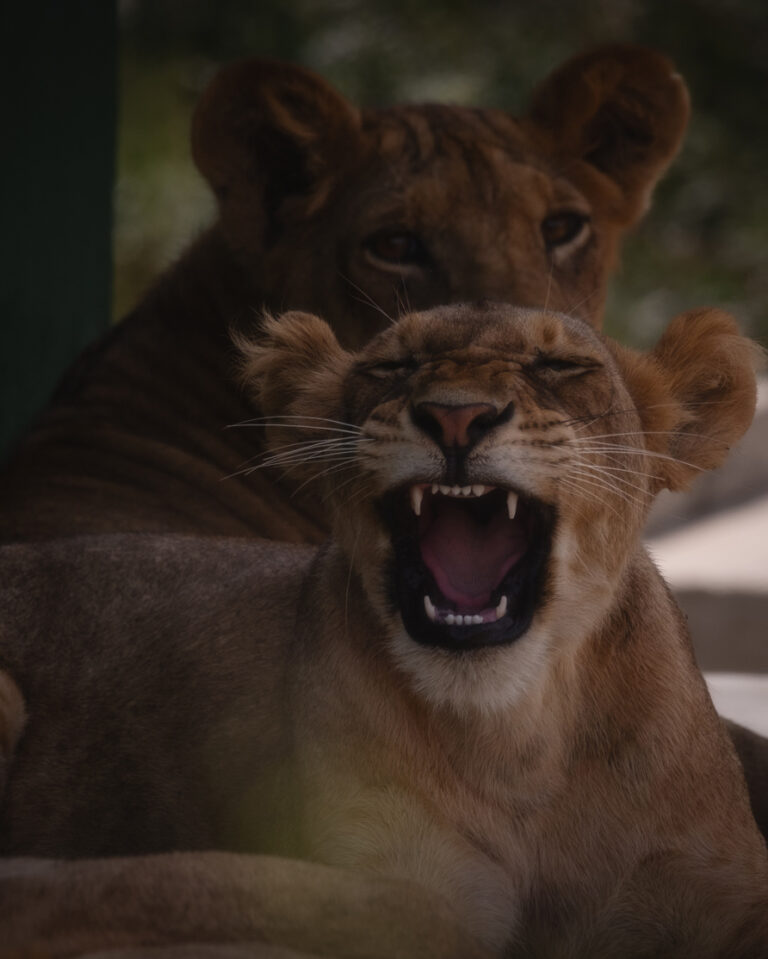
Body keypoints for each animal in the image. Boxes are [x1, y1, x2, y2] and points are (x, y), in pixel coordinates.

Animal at [1, 303, 767, 958]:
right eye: (394, 365)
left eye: (560, 364)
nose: (456, 416)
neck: (519, 738)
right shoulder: (386, 868)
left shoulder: (714, 881)